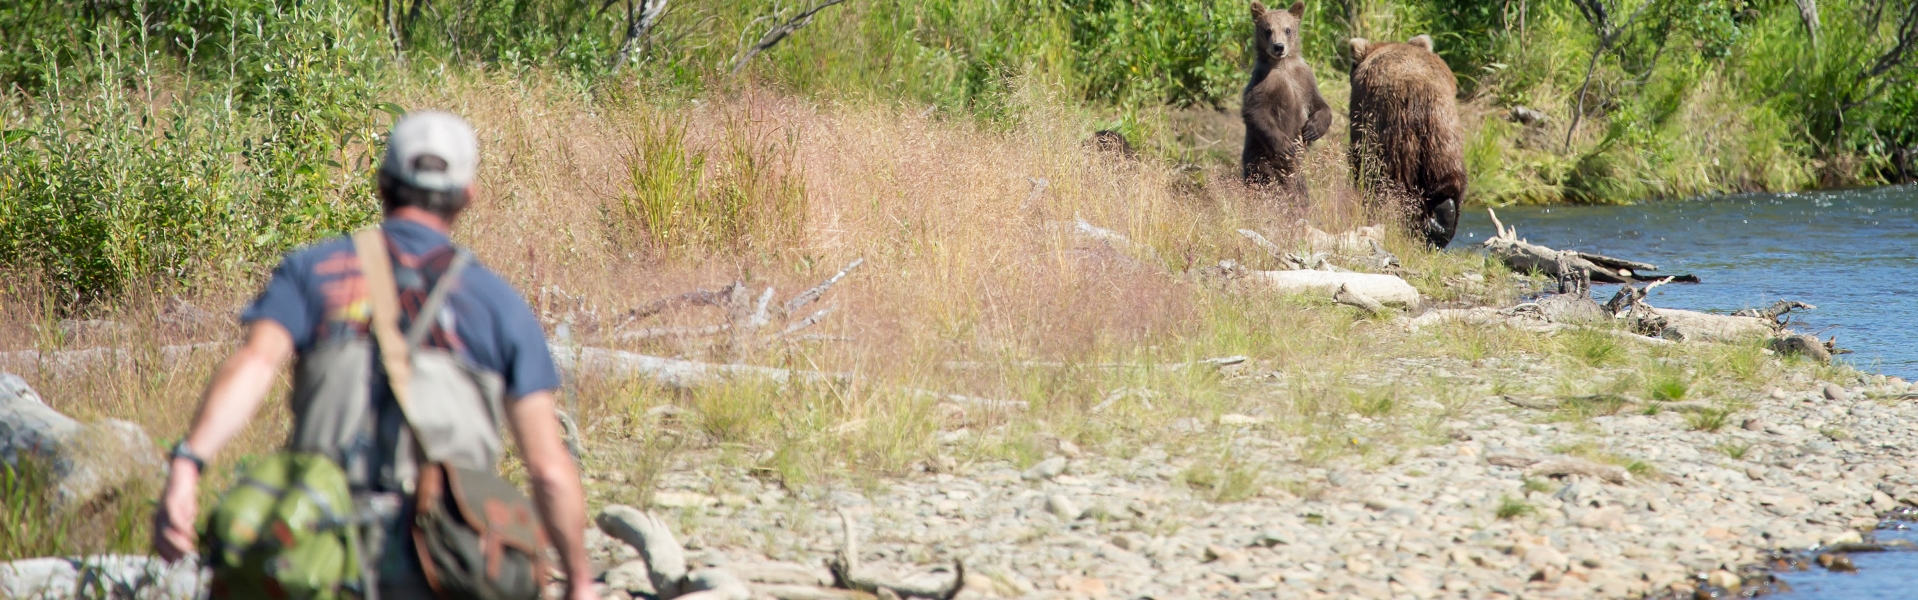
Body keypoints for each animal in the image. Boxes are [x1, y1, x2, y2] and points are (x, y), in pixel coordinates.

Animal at [1242, 0, 1334, 193]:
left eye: (1288, 29)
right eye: (1268, 29)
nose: (1279, 47)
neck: (1283, 65)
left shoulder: (1305, 80)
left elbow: (1320, 105)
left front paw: (1312, 129)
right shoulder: (1263, 82)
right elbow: (1255, 112)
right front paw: (1286, 146)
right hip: (1260, 160)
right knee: (1265, 180)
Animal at [1350, 34, 1465, 247]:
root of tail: (1416, 92)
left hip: (1390, 133)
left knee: (1388, 183)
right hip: (1442, 130)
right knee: (1447, 175)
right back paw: (1442, 218)